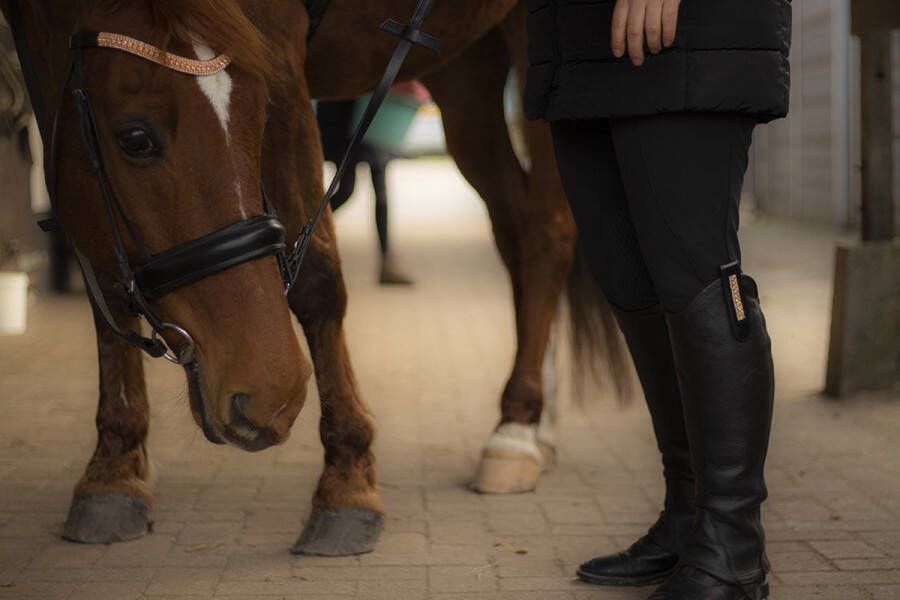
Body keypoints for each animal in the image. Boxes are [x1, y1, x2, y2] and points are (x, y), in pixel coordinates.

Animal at [5, 0, 624, 556]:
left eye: (260, 113)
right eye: (134, 137)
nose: (268, 391)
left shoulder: (279, 50)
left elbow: (319, 278)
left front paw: (346, 483)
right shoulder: (47, 61)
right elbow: (103, 280)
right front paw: (114, 468)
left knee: (545, 231)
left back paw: (515, 429)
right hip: (465, 65)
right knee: (510, 224)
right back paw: (538, 419)